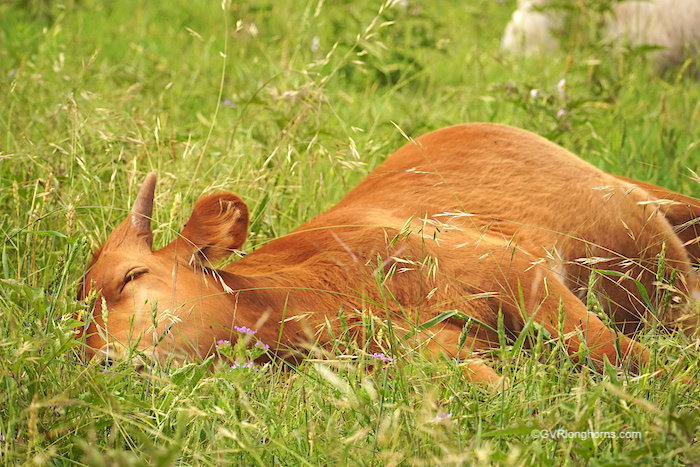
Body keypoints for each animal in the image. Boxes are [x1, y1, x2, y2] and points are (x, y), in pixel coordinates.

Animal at [79, 122, 696, 386]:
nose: (100, 360)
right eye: (79, 317)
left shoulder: (518, 273)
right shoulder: (431, 351)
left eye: (132, 275)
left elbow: (627, 357)